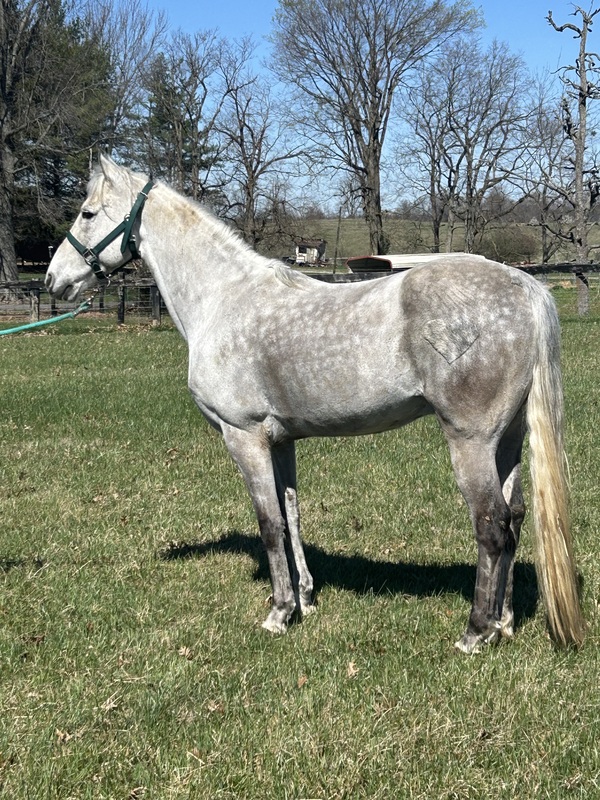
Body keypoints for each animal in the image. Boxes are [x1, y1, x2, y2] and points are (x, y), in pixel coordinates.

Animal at [45, 155, 585, 653]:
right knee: (515, 520)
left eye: (88, 213)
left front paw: (279, 613)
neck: (222, 298)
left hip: (469, 442)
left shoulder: (243, 436)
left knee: (492, 526)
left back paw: (475, 633)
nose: (54, 280)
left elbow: (267, 524)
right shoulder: (281, 440)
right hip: (506, 440)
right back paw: (504, 622)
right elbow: (291, 516)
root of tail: (525, 287)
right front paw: (305, 598)